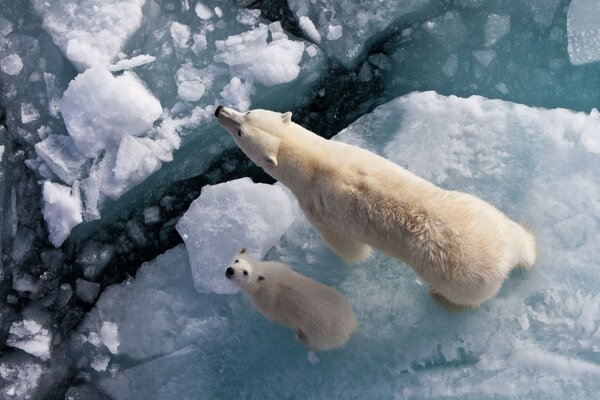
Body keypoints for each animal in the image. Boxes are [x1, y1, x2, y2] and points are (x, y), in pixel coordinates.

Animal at [214, 105, 536, 310]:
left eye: (241, 130)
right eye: (248, 113)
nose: (219, 110)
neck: (316, 162)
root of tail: (504, 257)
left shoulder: (319, 207)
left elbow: (347, 247)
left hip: (461, 277)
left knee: (463, 296)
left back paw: (439, 297)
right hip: (482, 211)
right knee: (518, 234)